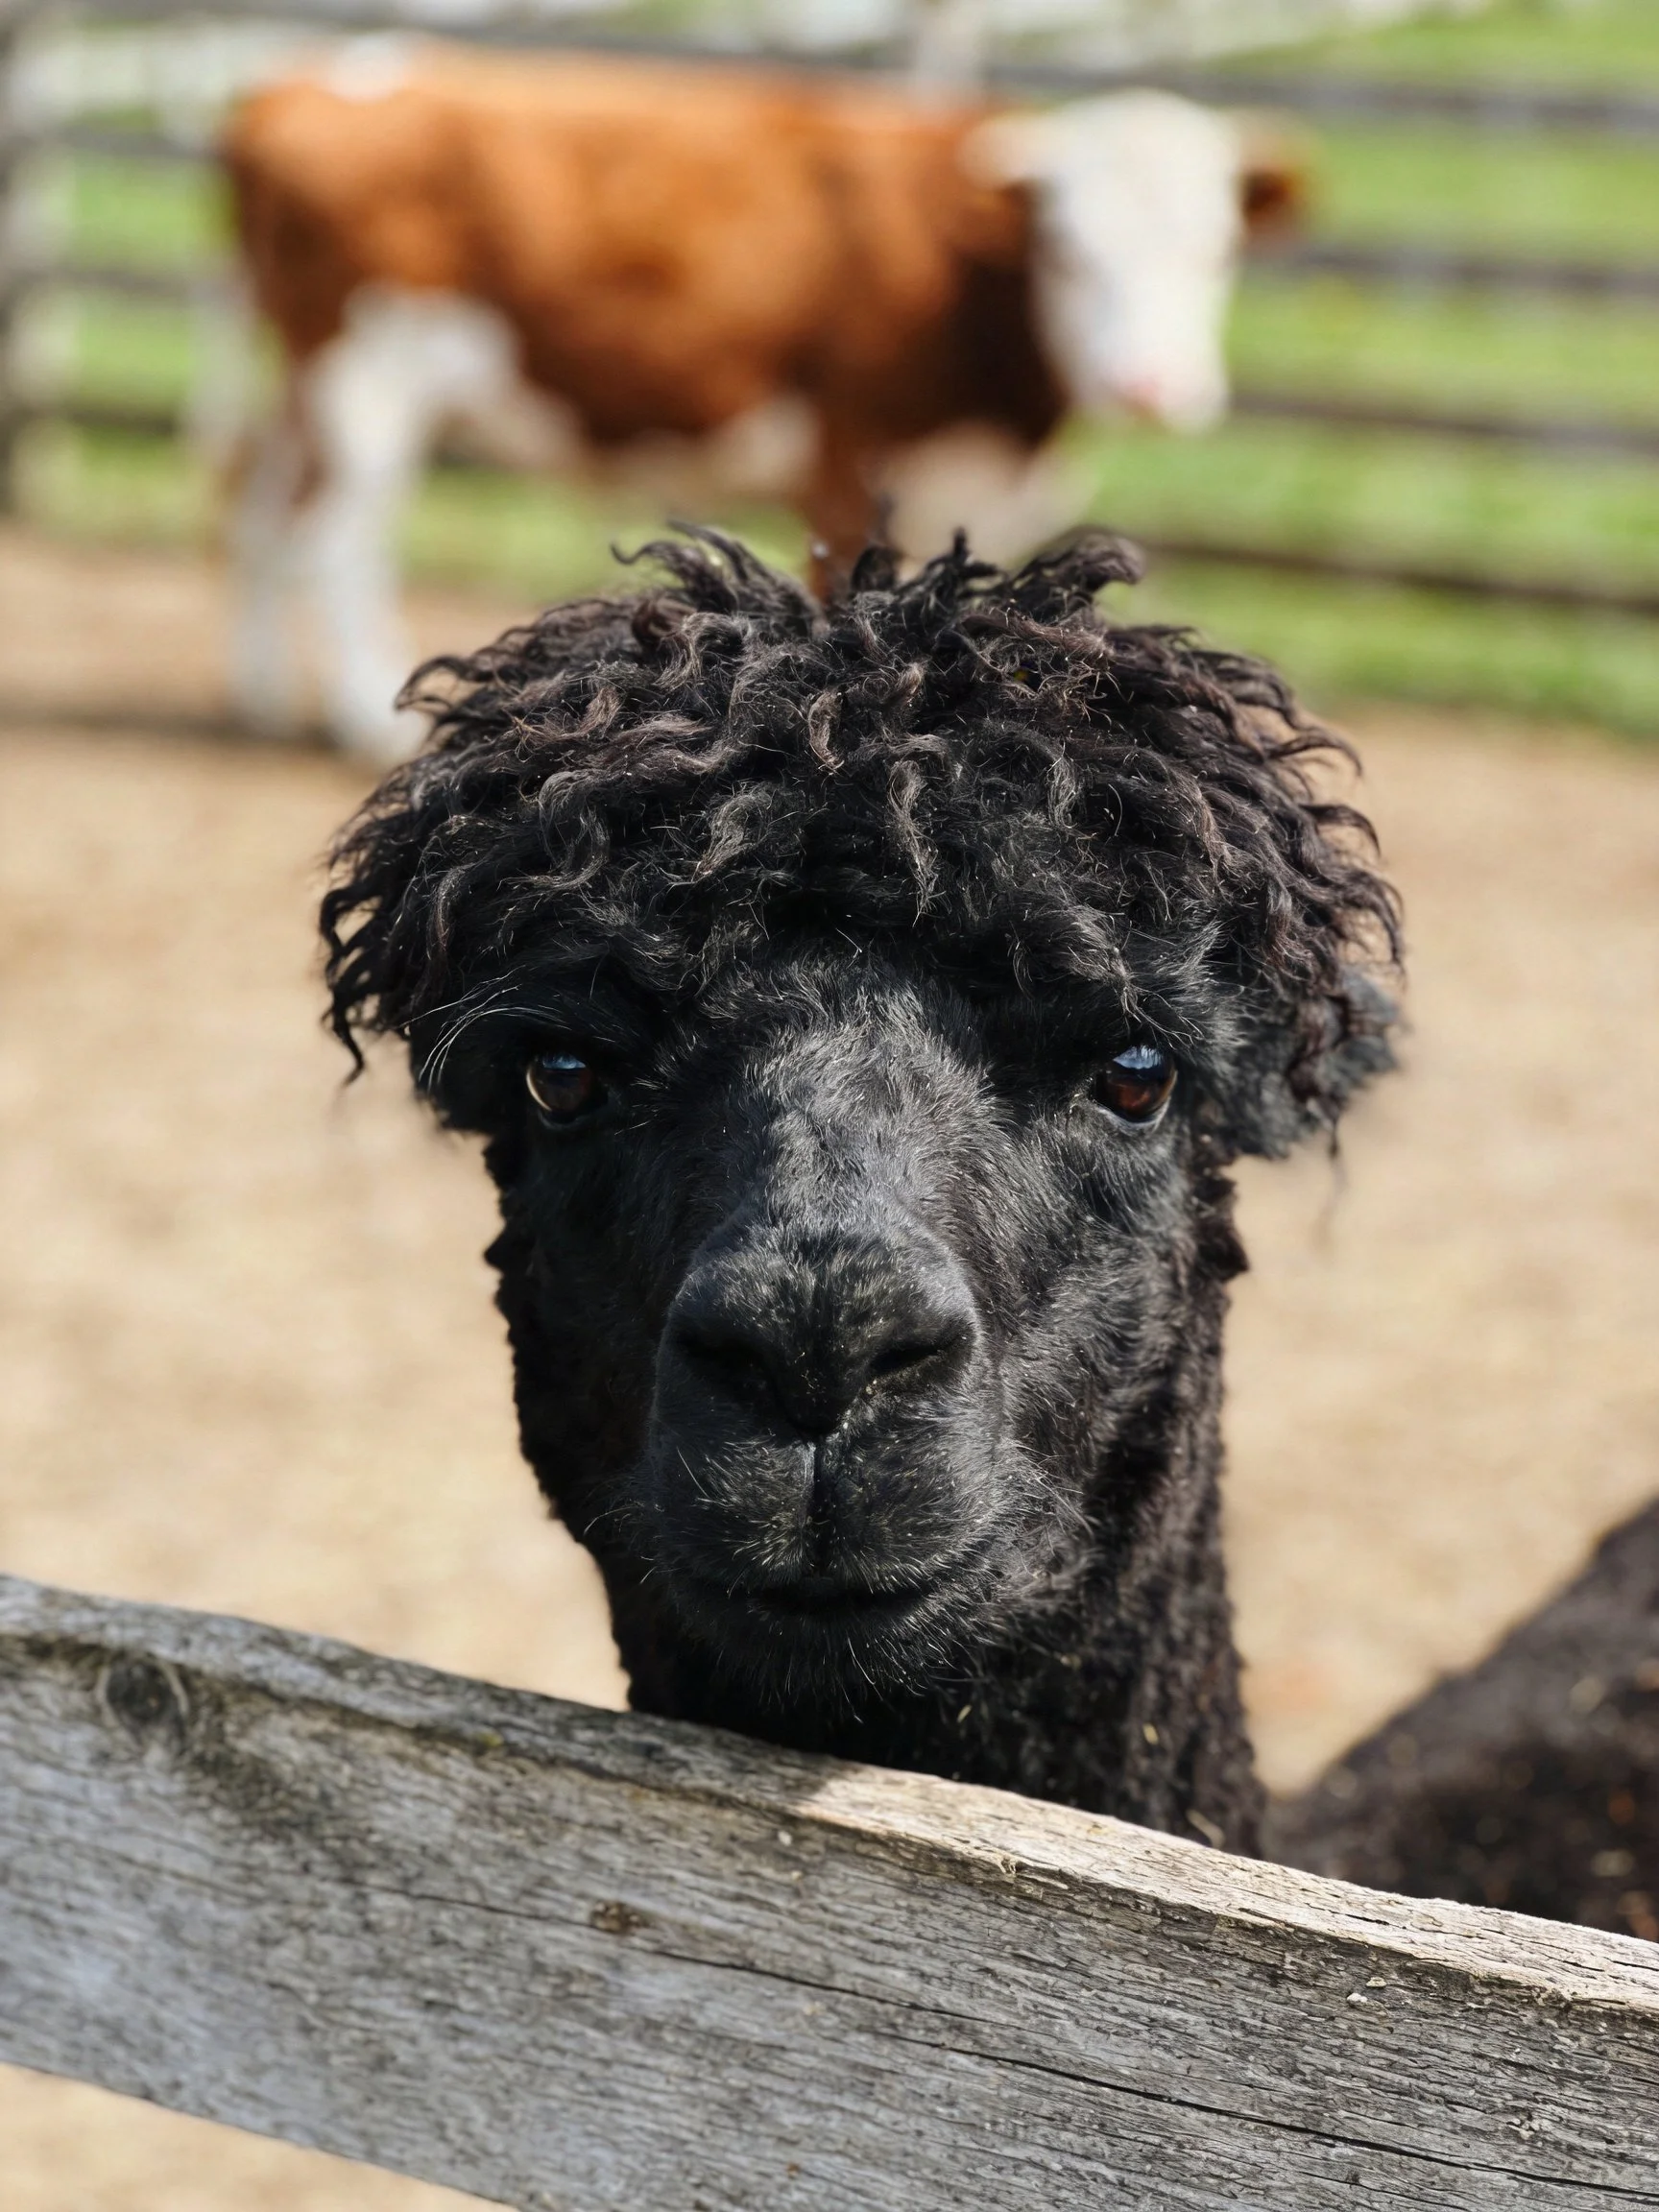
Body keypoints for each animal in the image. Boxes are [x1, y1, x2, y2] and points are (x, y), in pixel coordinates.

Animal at [221, 41, 1300, 758]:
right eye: (1069, 249)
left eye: (1219, 252)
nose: (1152, 385)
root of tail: (298, 82)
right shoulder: (849, 466)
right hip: (366, 377)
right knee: (341, 536)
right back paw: (364, 713)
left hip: (298, 381)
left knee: (264, 508)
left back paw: (262, 693)